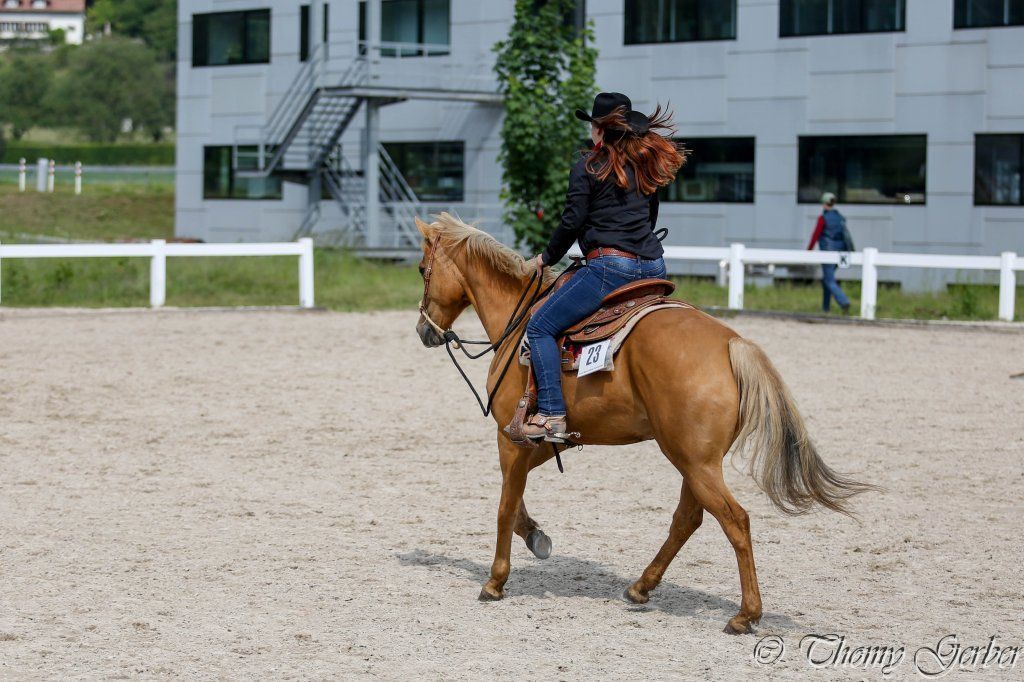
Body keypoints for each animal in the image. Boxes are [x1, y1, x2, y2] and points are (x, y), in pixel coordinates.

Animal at [413, 213, 871, 634]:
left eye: (421, 269)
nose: (423, 330)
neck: (520, 321)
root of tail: (731, 344)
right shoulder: (540, 440)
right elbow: (517, 496)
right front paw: (536, 537)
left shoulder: (510, 439)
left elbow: (505, 505)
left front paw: (495, 580)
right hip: (695, 460)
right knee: (689, 518)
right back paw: (641, 587)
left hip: (693, 461)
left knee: (735, 520)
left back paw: (745, 614)